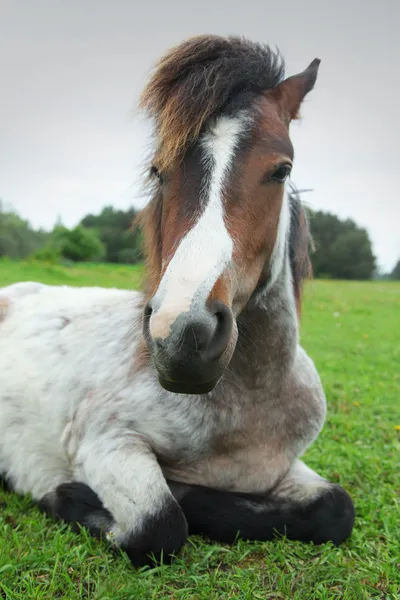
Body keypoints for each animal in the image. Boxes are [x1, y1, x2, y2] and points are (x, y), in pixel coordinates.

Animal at [0, 34, 356, 568]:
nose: (184, 334)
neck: (244, 409)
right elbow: (160, 524)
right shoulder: (108, 442)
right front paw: (66, 496)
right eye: (157, 170)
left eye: (281, 169)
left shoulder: (285, 466)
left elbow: (337, 509)